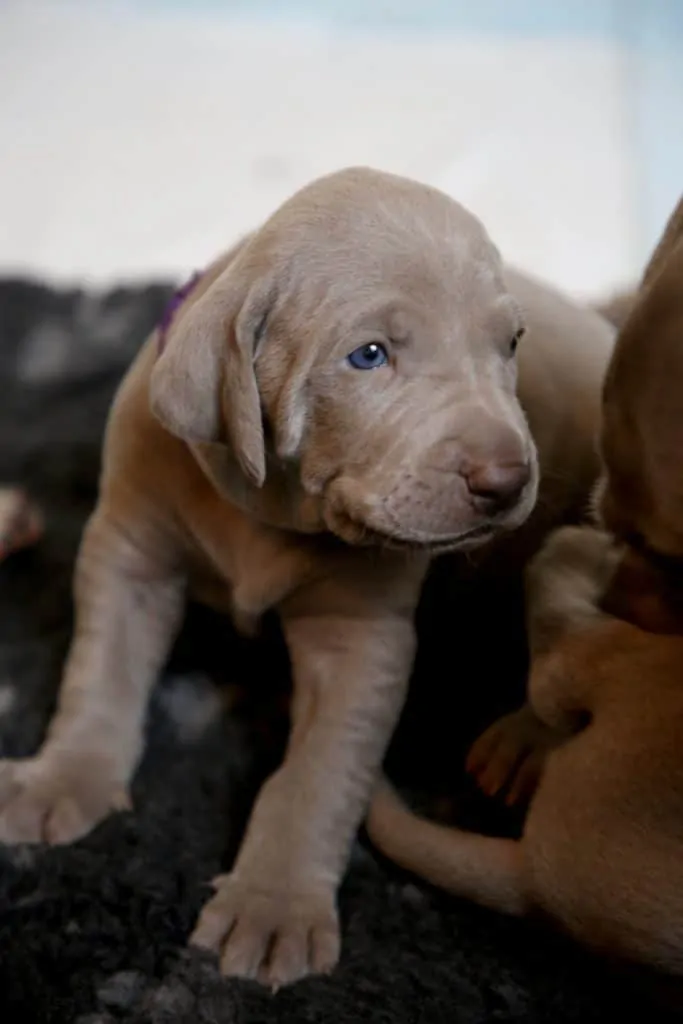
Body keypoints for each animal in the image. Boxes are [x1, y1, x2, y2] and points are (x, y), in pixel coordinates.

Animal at [0, 165, 614, 983]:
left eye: (509, 343)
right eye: (369, 355)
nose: (507, 480)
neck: (268, 509)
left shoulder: (358, 638)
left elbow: (315, 776)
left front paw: (273, 906)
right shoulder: (129, 550)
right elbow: (101, 675)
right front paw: (62, 778)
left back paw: (520, 742)